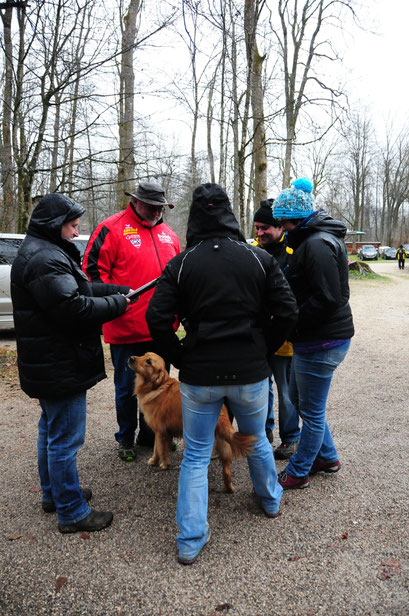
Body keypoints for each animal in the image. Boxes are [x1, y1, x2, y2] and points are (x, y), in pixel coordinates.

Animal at [128, 354, 255, 494]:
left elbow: (161, 450)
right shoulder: (157, 432)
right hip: (223, 445)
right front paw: (153, 461)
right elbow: (156, 449)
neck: (157, 386)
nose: (131, 358)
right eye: (144, 355)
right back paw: (229, 489)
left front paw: (164, 464)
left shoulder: (161, 432)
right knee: (226, 472)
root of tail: (221, 414)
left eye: (148, 362)